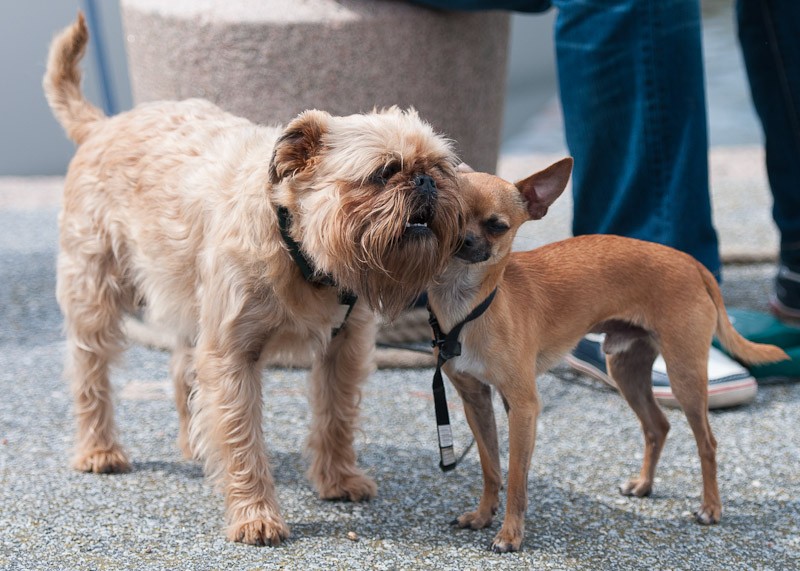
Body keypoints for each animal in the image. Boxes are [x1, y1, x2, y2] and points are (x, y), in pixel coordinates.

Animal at [45, 13, 462, 548]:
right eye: (385, 172)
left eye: (440, 169)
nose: (426, 181)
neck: (299, 247)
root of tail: (102, 125)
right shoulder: (231, 354)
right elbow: (242, 437)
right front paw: (255, 514)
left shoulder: (344, 347)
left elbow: (336, 416)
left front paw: (338, 480)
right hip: (94, 293)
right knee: (90, 370)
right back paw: (99, 449)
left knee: (181, 370)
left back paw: (195, 446)